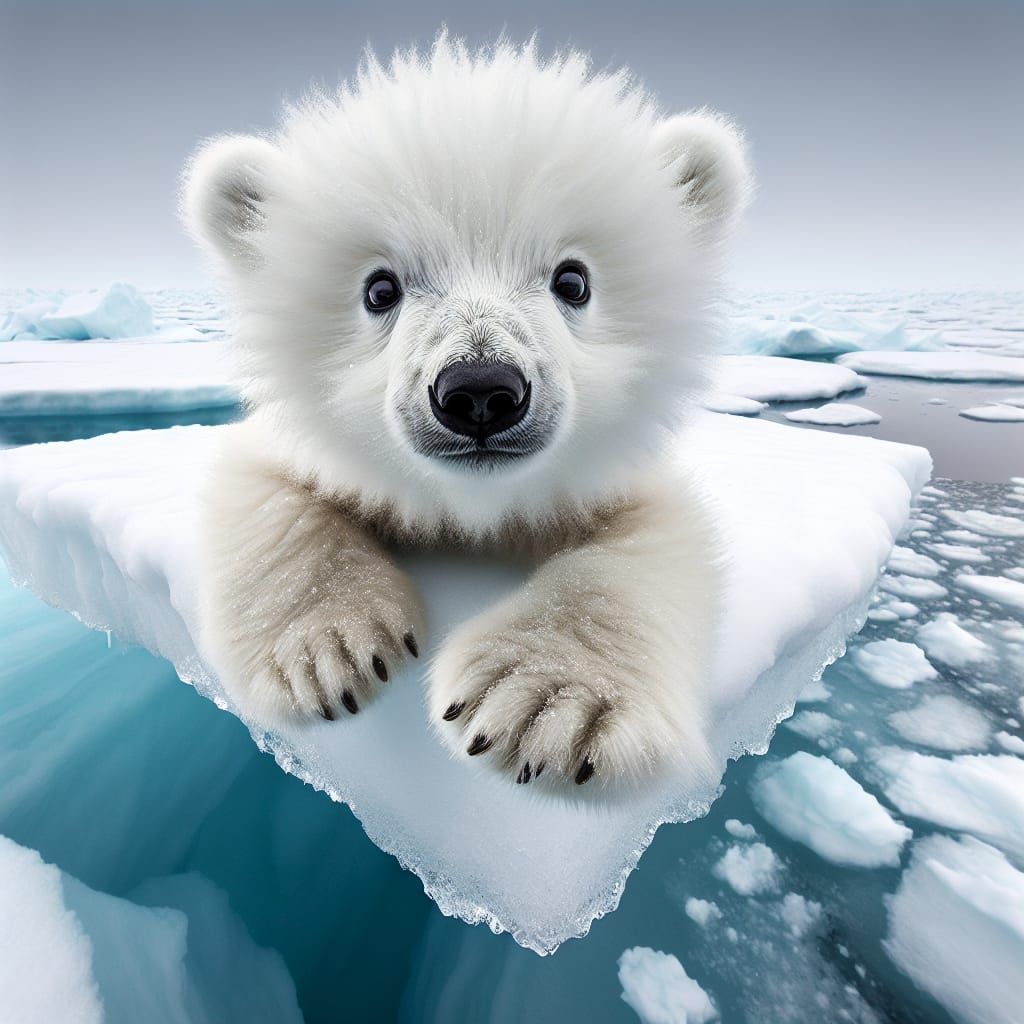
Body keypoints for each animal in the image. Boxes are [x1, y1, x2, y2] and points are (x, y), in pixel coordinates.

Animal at [182, 37, 750, 793]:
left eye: (573, 279)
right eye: (380, 288)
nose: (480, 391)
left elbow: (654, 536)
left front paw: (546, 699)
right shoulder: (295, 444)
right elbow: (268, 491)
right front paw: (329, 651)